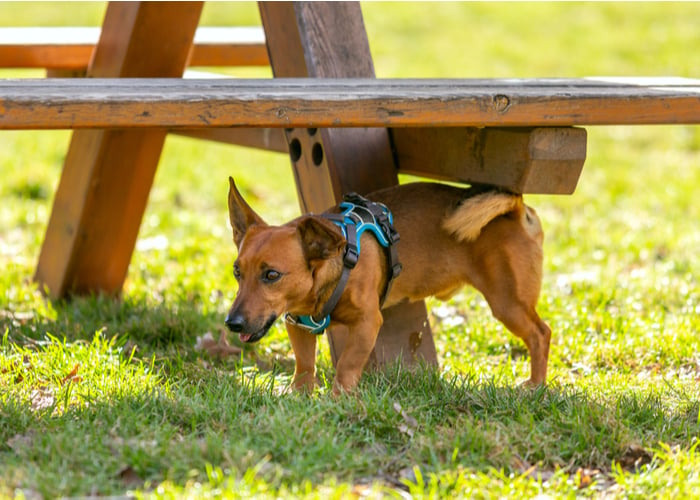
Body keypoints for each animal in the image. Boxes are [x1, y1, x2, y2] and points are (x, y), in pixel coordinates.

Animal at [227, 178, 548, 392]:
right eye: (236, 272)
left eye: (272, 275)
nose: (232, 323)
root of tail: (515, 209)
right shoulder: (298, 325)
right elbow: (305, 366)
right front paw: (299, 397)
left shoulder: (367, 324)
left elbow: (346, 366)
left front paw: (338, 399)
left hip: (508, 303)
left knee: (540, 334)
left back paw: (536, 385)